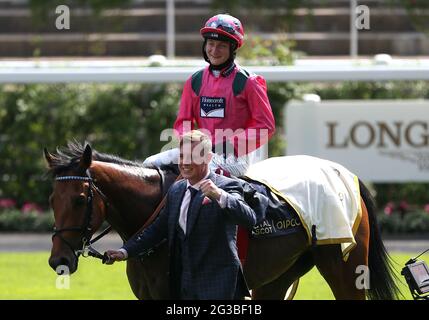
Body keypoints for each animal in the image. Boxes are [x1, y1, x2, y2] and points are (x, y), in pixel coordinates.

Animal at [44, 142, 402, 300]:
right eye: (51, 200)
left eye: (79, 200)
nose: (58, 260)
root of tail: (344, 173)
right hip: (278, 278)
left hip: (346, 270)